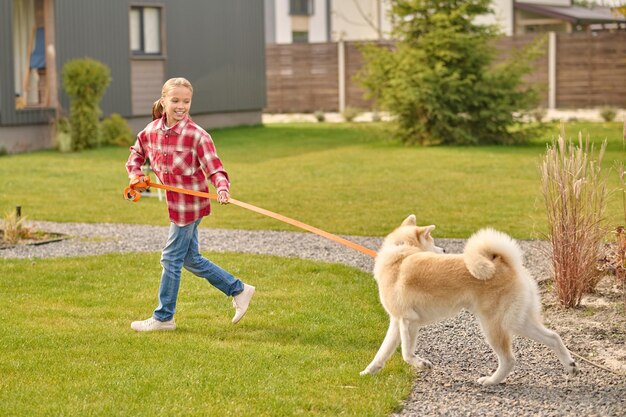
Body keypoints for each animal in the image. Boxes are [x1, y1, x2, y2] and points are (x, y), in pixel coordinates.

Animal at [358, 216, 576, 386]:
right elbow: (382, 353)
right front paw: (367, 373)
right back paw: (571, 365)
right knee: (553, 337)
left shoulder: (408, 321)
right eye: (433, 240)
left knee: (508, 360)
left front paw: (422, 364)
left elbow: (406, 354)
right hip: (517, 321)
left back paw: (491, 381)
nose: (444, 250)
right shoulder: (397, 322)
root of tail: (509, 264)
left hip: (493, 325)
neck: (400, 253)